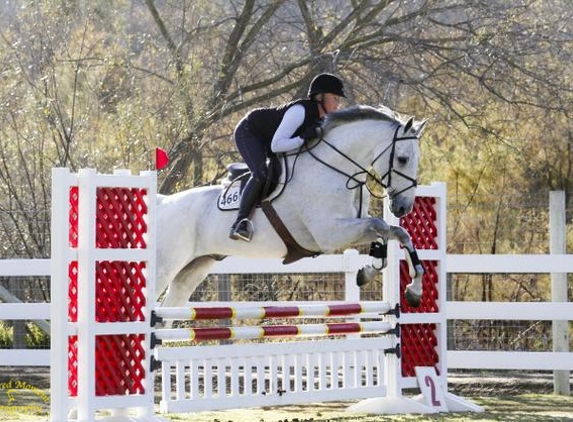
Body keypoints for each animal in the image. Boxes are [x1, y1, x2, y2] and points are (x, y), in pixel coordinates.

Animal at [155, 105, 424, 308]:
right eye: (402, 159)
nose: (403, 208)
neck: (335, 168)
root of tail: (162, 202)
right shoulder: (330, 234)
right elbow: (380, 225)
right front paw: (401, 282)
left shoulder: (352, 225)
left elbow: (395, 232)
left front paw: (405, 285)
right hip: (165, 267)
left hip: (192, 270)